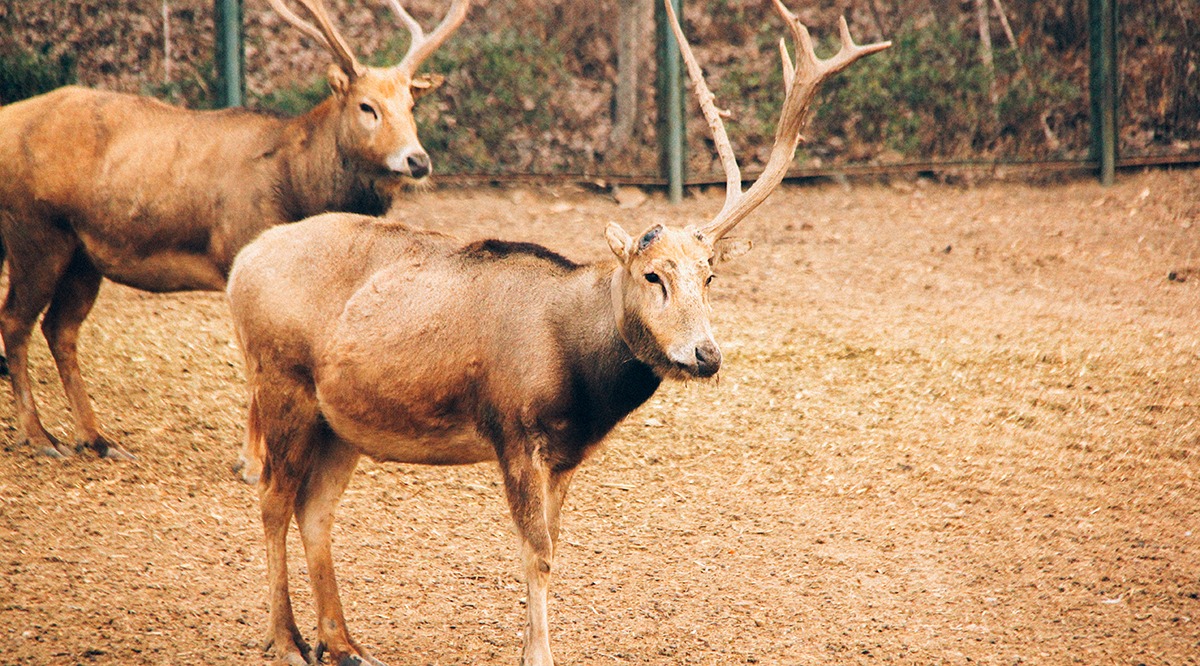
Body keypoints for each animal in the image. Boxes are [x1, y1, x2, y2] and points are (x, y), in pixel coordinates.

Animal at [0, 0, 468, 460]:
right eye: (366, 106)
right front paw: (251, 458)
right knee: (16, 321)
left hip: (82, 254)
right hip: (33, 232)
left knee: (60, 328)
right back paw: (41, 438)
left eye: (411, 106)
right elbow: (253, 367)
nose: (417, 160)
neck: (296, 185)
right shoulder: (238, 254)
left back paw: (96, 438)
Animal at [225, 2, 888, 662]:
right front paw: (538, 653)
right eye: (652, 274)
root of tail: (242, 264)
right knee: (273, 499)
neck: (578, 378)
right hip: (280, 380)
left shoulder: (568, 454)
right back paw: (285, 639)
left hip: (342, 421)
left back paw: (343, 643)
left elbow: (552, 547)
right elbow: (536, 551)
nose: (705, 354)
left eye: (710, 274)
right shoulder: (514, 430)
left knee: (314, 510)